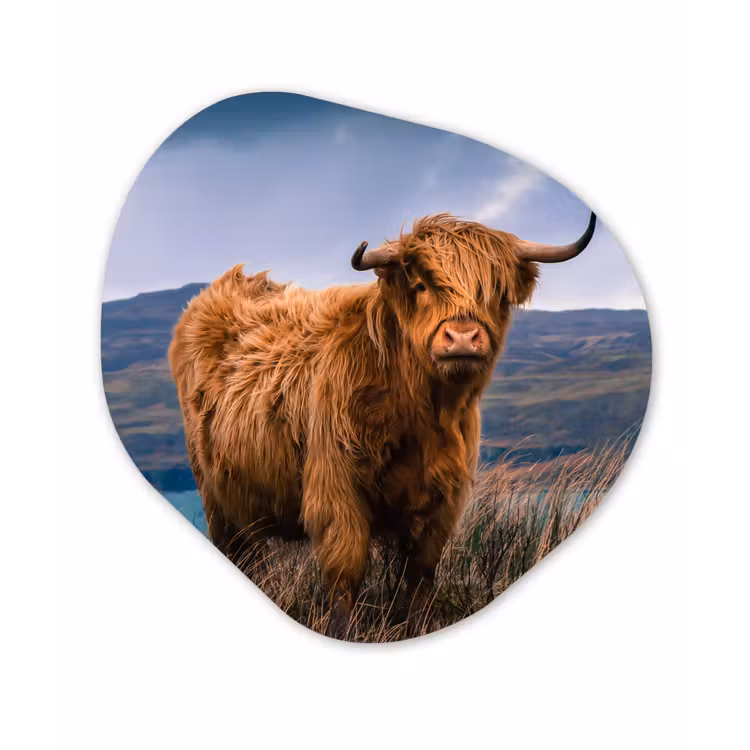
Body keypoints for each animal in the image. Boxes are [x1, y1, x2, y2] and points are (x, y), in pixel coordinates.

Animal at [168, 211, 596, 637]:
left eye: (497, 293)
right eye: (421, 285)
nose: (462, 338)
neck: (421, 414)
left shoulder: (442, 500)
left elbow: (421, 575)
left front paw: (416, 626)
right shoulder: (337, 490)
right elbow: (345, 572)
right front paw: (344, 631)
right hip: (216, 497)